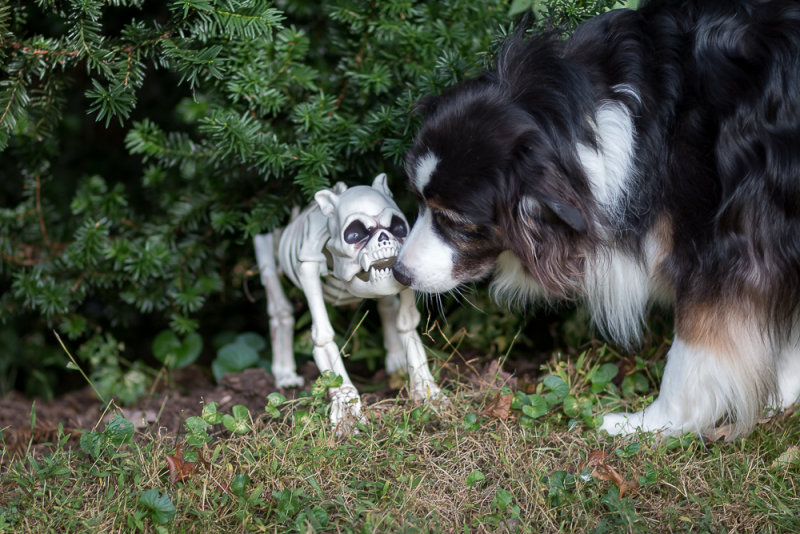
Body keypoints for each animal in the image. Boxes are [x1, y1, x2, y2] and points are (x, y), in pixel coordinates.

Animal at [394, 0, 800, 440]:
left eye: (456, 220)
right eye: (418, 199)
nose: (398, 272)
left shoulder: (721, 247)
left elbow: (693, 349)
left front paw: (650, 424)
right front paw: (782, 393)